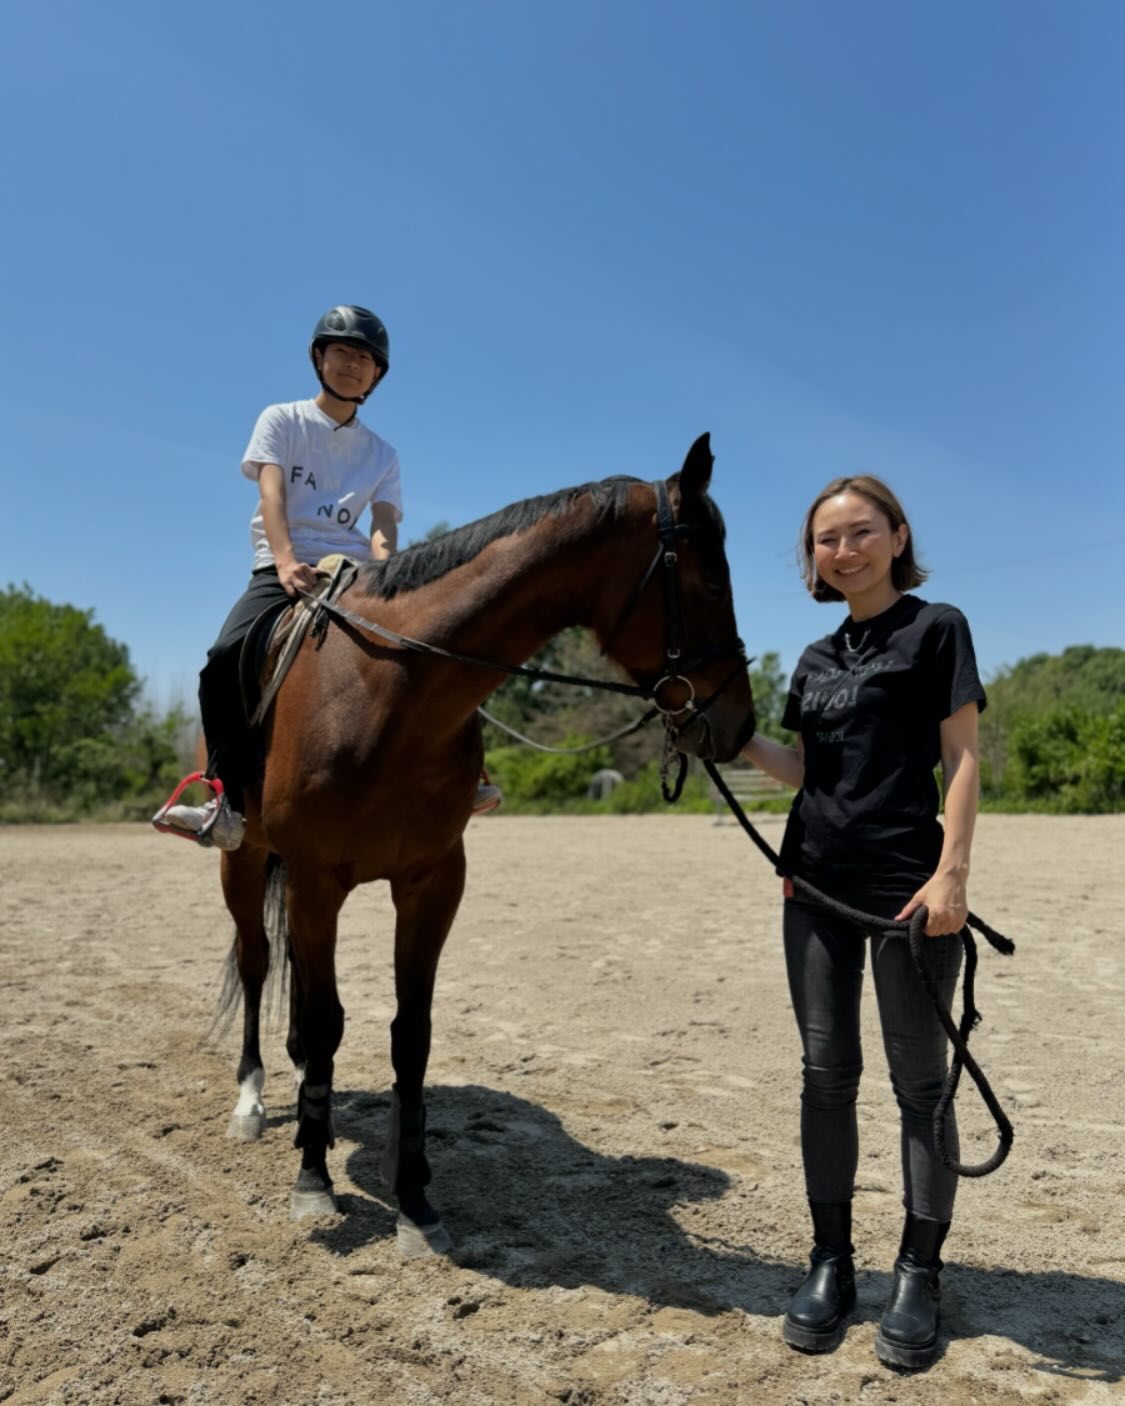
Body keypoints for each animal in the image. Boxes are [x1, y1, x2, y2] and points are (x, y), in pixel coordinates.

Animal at [217, 430, 753, 1254]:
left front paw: (413, 1197)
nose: (739, 723)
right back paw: (252, 1102)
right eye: (712, 579)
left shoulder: (432, 880)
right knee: (256, 965)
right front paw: (313, 1182)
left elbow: (410, 1033)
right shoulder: (313, 876)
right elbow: (332, 1017)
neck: (390, 692)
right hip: (244, 861)